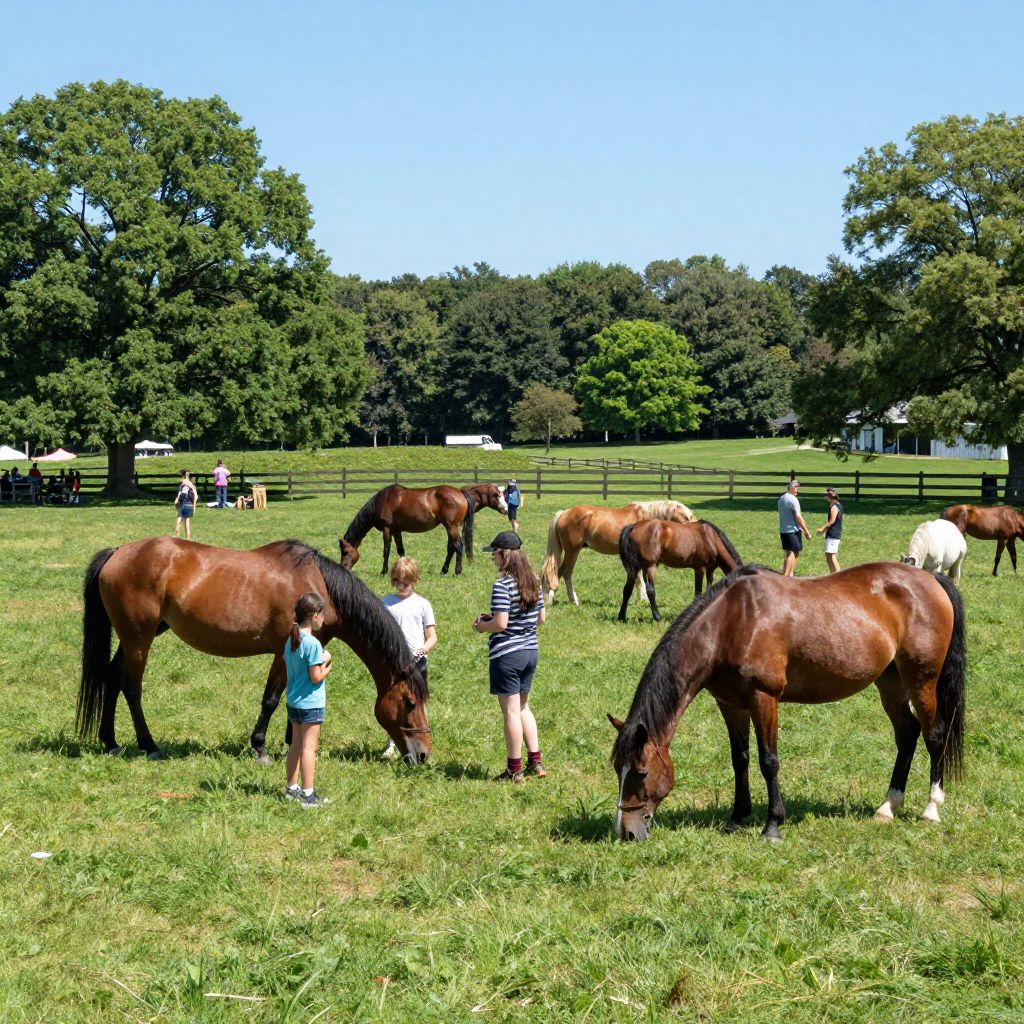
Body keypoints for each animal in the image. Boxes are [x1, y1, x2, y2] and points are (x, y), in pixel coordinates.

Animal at [78, 538, 432, 764]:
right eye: (410, 702)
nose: (424, 754)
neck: (318, 586)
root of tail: (118, 553)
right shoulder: (283, 652)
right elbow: (272, 700)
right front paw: (260, 749)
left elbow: (295, 697)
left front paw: (294, 742)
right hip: (139, 638)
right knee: (130, 687)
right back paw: (149, 746)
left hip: (134, 637)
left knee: (110, 679)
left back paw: (110, 741)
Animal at [341, 483, 507, 576]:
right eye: (496, 494)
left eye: (346, 552)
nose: (343, 567)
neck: (384, 500)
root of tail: (460, 493)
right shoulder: (396, 530)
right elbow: (401, 551)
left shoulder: (387, 529)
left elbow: (386, 551)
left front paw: (383, 571)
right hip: (450, 527)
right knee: (452, 548)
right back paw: (443, 570)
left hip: (451, 526)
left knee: (458, 546)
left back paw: (457, 571)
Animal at [541, 500, 695, 606]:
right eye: (687, 517)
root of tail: (564, 513)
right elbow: (640, 578)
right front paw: (644, 599)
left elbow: (638, 578)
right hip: (572, 551)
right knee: (563, 572)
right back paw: (560, 599)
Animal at [609, 563, 965, 842]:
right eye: (617, 769)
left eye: (641, 772)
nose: (626, 832)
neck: (731, 623)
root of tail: (931, 578)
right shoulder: (730, 703)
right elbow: (740, 759)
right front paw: (736, 818)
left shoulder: (764, 699)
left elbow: (769, 761)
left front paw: (772, 826)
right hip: (890, 682)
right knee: (907, 735)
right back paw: (888, 807)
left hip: (922, 680)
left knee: (935, 736)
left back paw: (931, 809)